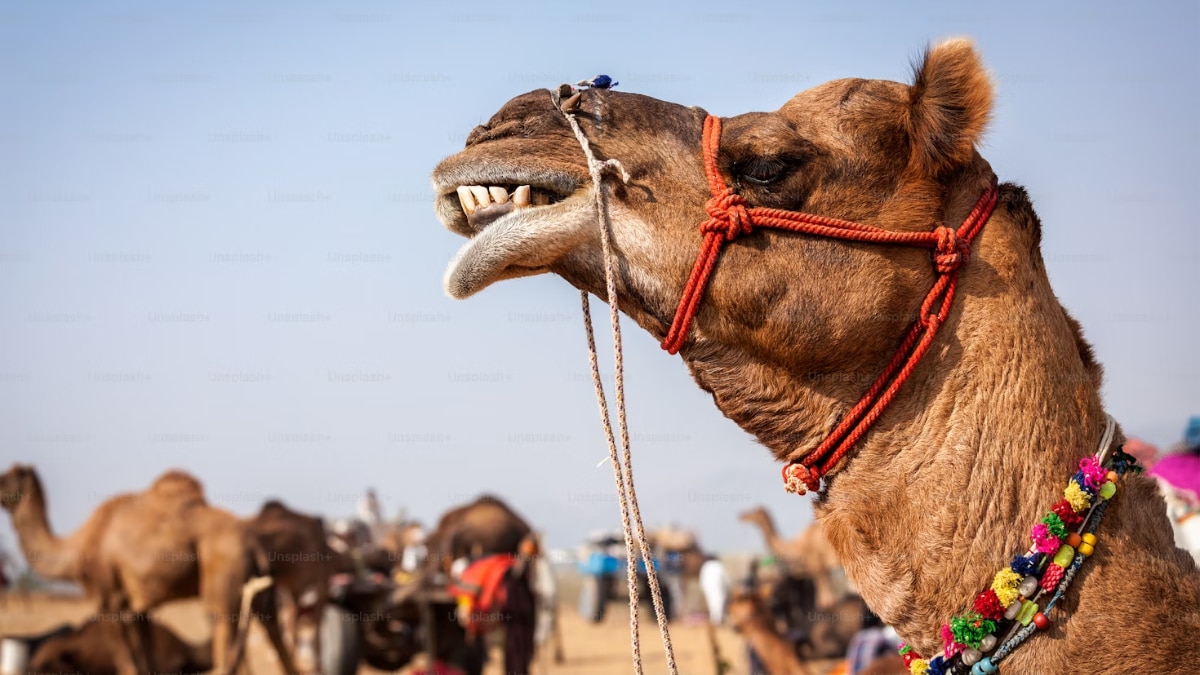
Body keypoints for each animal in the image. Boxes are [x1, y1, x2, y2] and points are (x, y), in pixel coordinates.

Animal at [0, 464, 298, 675]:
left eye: (6, 478)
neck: (78, 546)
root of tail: (252, 542)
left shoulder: (107, 597)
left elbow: (127, 663)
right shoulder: (136, 609)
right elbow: (145, 661)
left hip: (223, 577)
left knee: (225, 638)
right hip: (261, 592)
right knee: (276, 641)